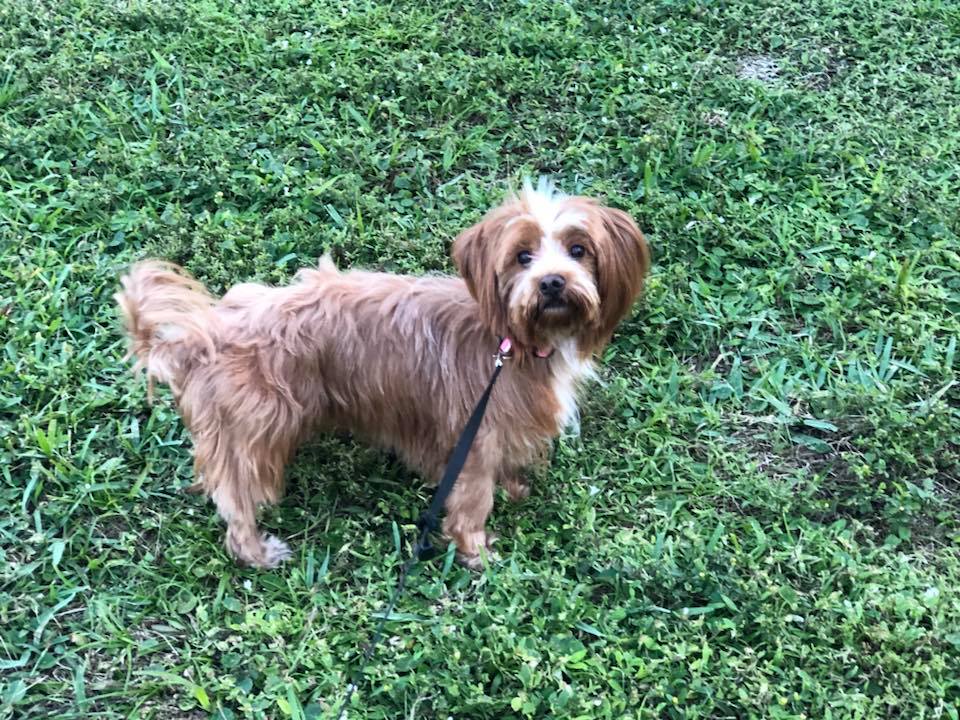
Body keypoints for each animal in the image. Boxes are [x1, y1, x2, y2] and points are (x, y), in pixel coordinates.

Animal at [116, 183, 648, 572]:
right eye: (522, 257)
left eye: (578, 250)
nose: (553, 282)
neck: (514, 339)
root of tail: (202, 337)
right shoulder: (473, 435)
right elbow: (472, 501)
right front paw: (476, 553)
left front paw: (512, 487)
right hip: (254, 432)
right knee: (235, 496)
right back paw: (254, 551)